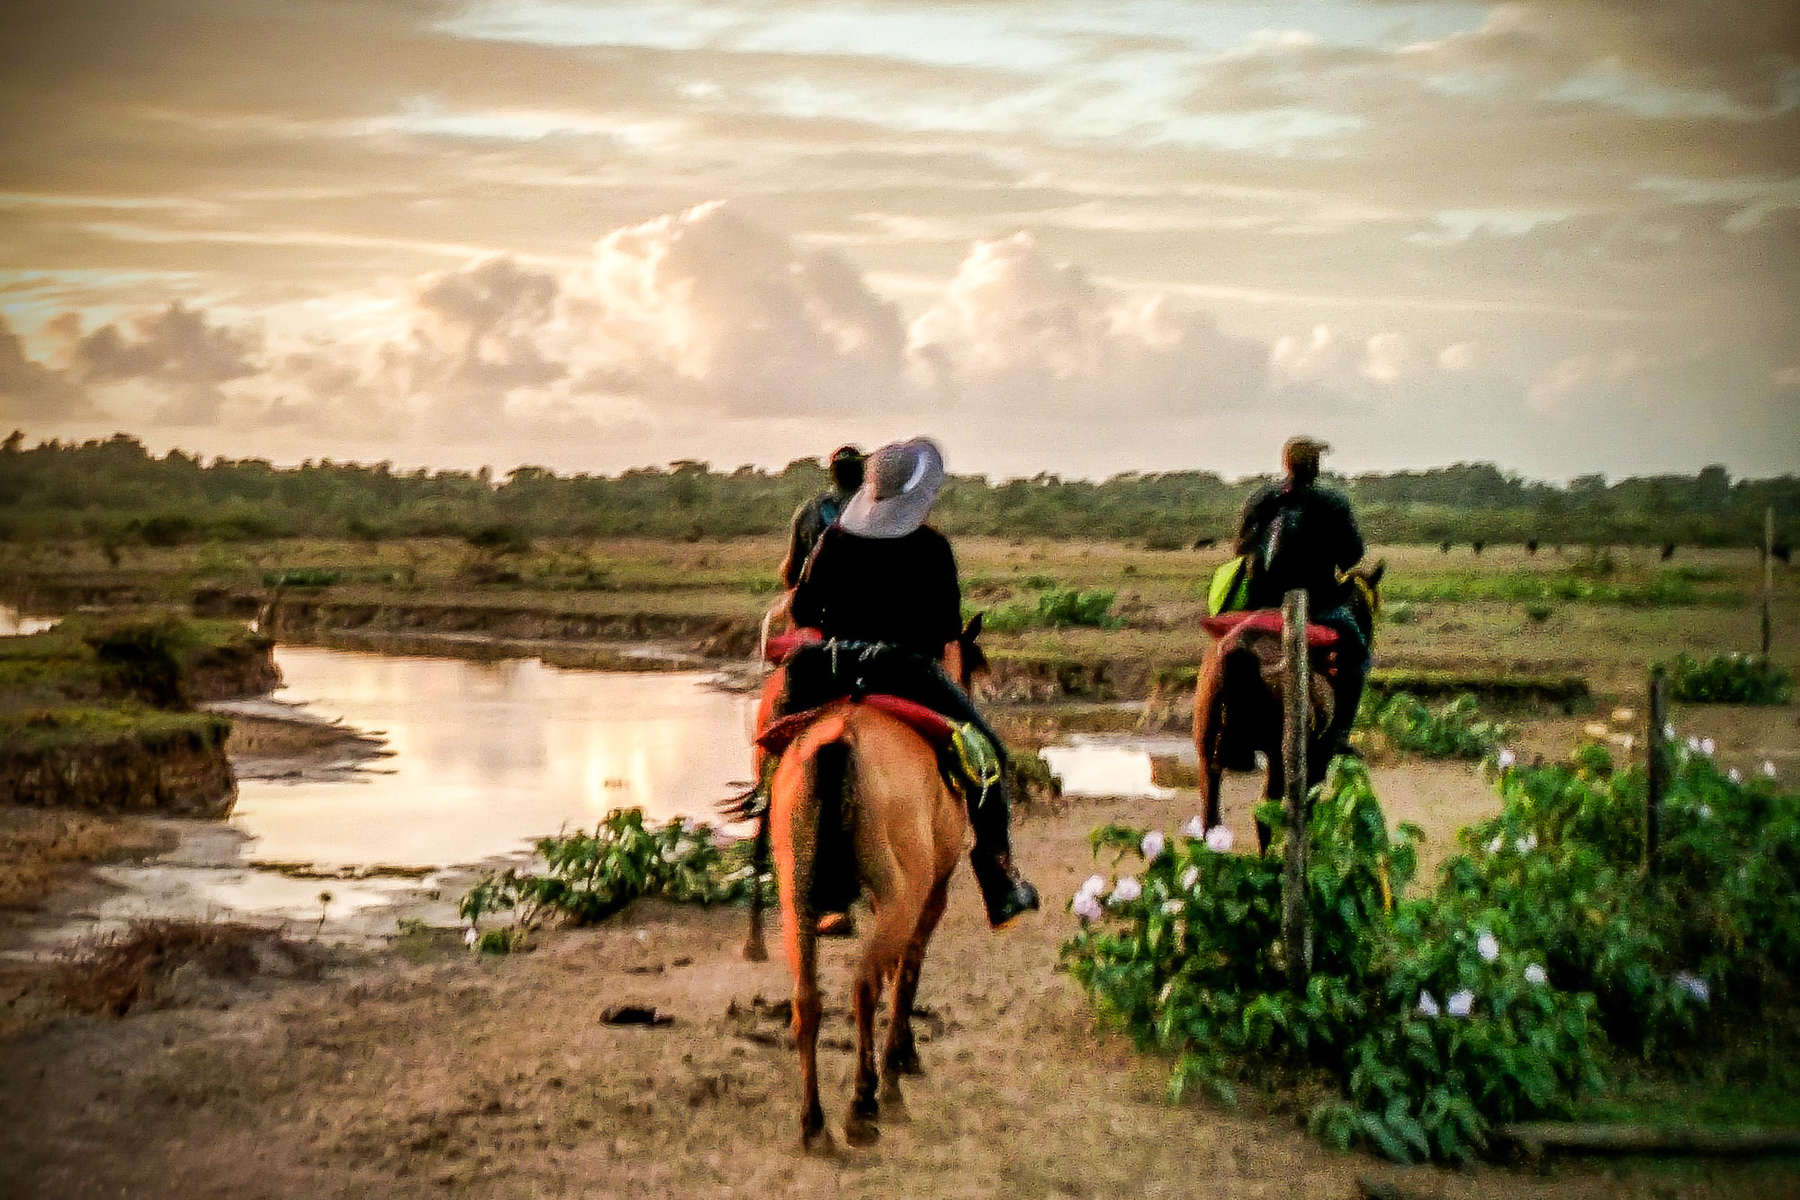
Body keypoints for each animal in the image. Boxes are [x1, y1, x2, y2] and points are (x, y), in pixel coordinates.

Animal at [1195, 568, 1389, 849]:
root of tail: (1238, 654)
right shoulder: (1320, 755)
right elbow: (1308, 805)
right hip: (1281, 758)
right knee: (1266, 812)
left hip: (1206, 753)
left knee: (1211, 821)